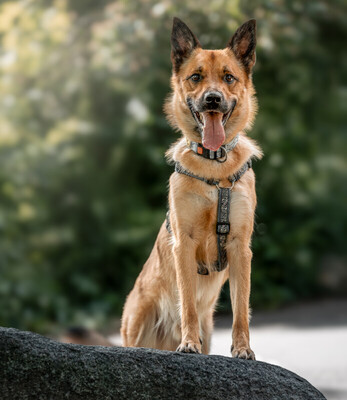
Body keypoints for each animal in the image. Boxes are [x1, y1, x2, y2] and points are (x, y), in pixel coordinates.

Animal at [121, 16, 262, 360]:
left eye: (228, 77)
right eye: (195, 77)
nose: (212, 99)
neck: (215, 162)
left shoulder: (240, 248)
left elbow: (241, 309)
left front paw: (242, 349)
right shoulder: (183, 244)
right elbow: (187, 304)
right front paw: (188, 344)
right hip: (140, 318)